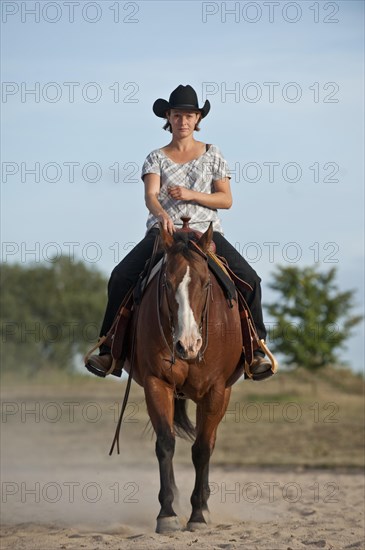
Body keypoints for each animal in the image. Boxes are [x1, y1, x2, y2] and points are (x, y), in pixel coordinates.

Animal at [122, 223, 245, 536]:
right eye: (166, 283)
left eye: (206, 283)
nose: (187, 345)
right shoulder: (157, 383)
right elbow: (166, 442)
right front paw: (167, 514)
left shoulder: (216, 390)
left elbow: (201, 449)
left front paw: (198, 515)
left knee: (209, 442)